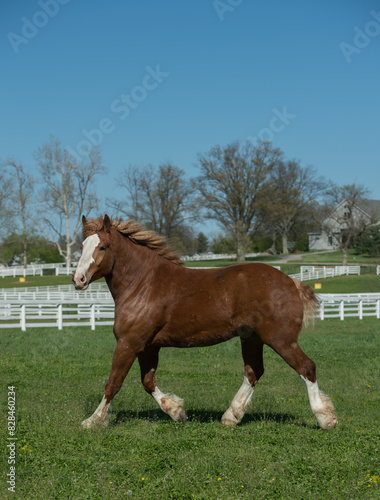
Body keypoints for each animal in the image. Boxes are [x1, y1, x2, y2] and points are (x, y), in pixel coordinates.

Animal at [72, 215, 336, 430]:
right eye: (82, 246)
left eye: (103, 246)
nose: (78, 279)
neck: (143, 284)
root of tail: (292, 282)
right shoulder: (148, 347)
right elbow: (147, 382)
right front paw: (176, 411)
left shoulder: (129, 343)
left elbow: (113, 382)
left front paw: (93, 421)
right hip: (252, 338)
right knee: (254, 372)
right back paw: (231, 416)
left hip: (281, 340)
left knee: (306, 367)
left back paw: (325, 418)